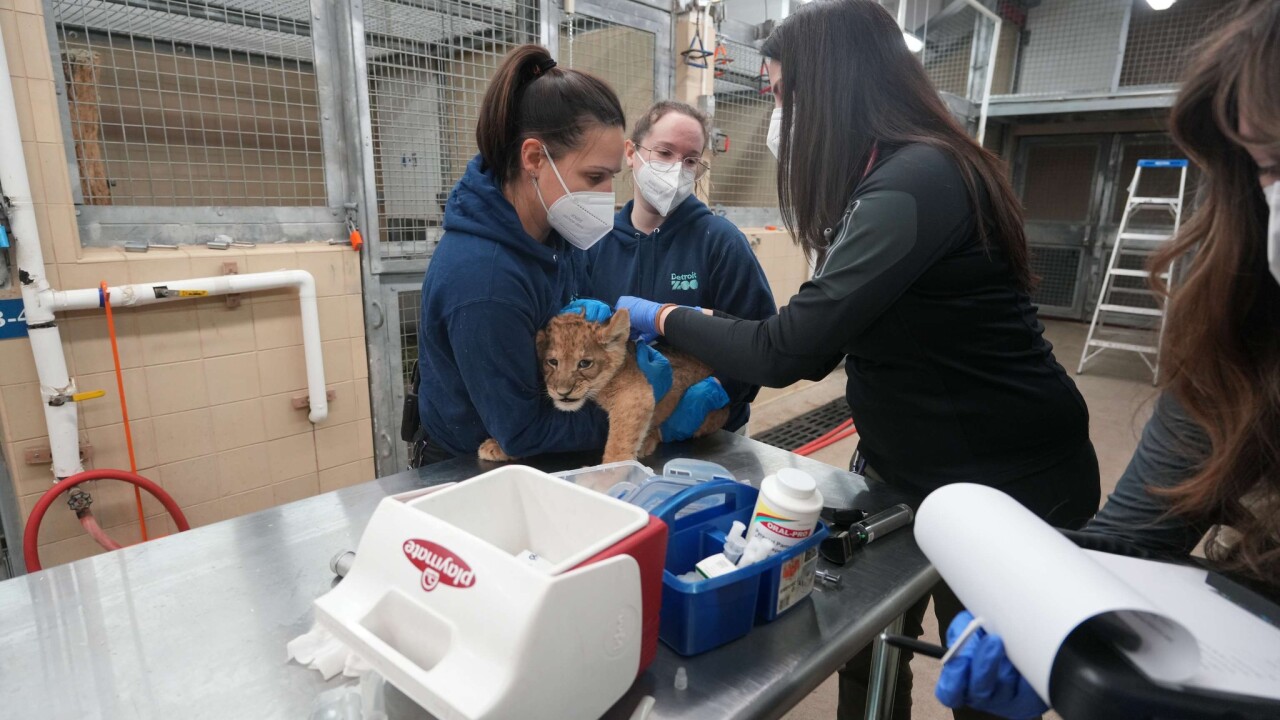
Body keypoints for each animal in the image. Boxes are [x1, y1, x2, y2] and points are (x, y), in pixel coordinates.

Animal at [478, 309, 729, 463]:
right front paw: (496, 446)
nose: (563, 393)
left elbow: (619, 439)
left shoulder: (636, 393)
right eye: (552, 362)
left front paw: (611, 473)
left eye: (584, 363)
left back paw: (647, 442)